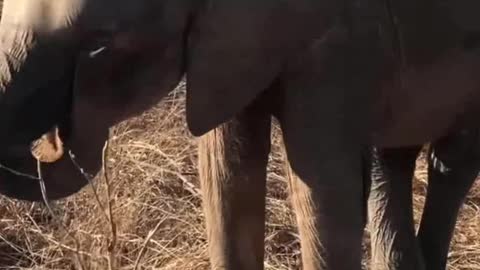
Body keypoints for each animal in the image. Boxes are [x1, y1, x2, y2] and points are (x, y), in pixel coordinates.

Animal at [0, 0, 480, 270]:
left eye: (105, 43)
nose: (58, 134)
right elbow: (226, 178)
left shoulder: (337, 45)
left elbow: (323, 194)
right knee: (392, 159)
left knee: (449, 165)